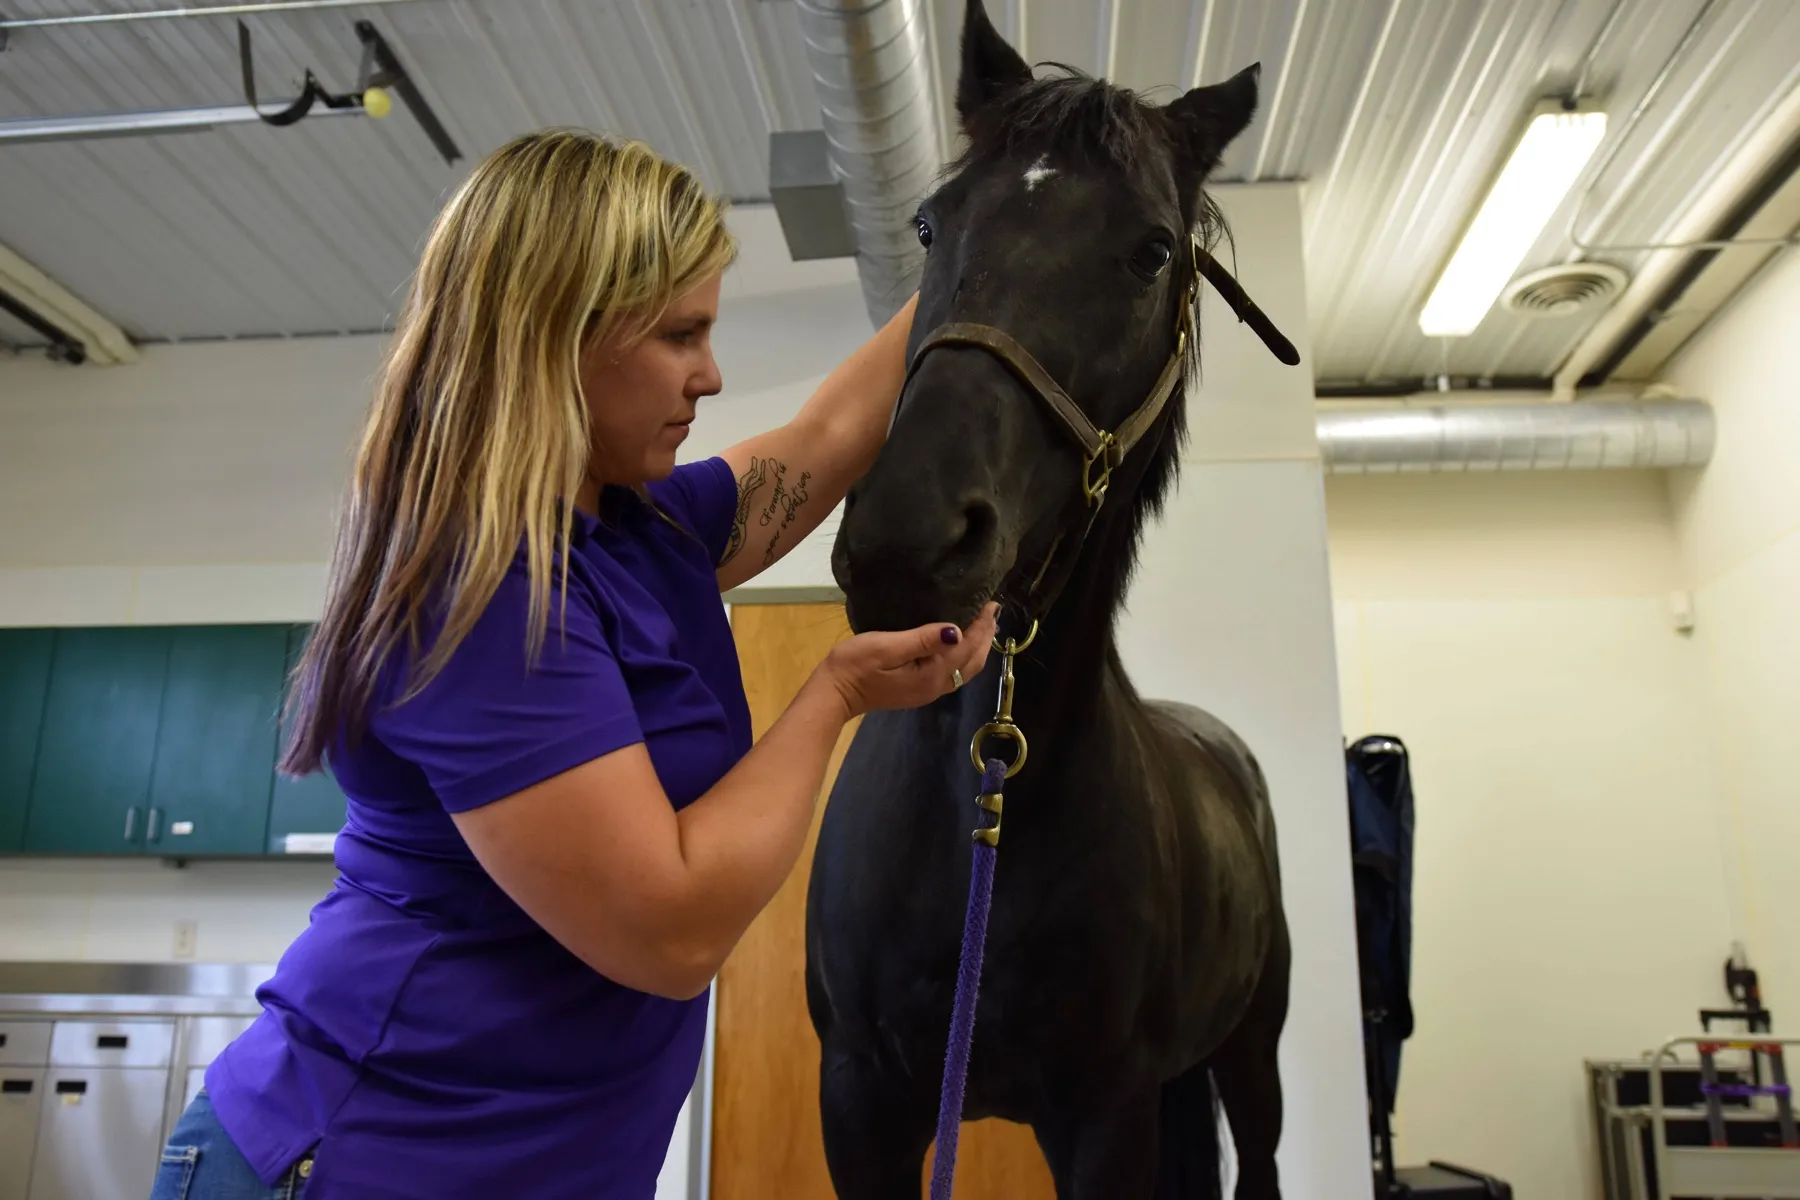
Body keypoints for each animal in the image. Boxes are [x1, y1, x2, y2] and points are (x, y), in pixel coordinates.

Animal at [802, 3, 1292, 1198]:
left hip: (1249, 1057)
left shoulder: (1105, 1116)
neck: (978, 807)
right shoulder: (860, 1102)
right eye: (929, 226)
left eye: (1152, 249)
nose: (908, 540)